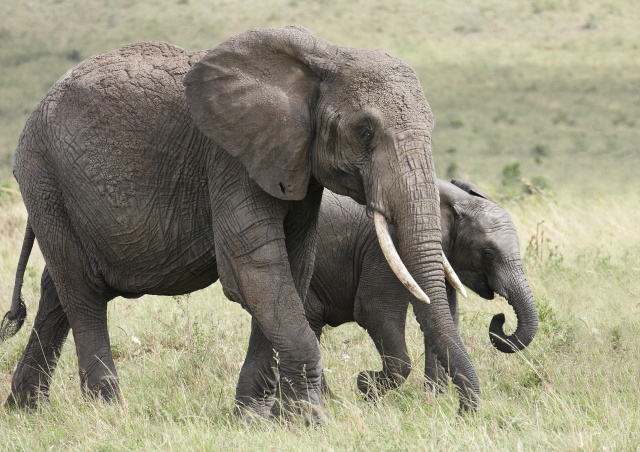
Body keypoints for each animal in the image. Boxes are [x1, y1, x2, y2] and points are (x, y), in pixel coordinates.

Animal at [0, 26, 479, 420]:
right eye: (365, 132)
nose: (463, 412)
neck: (325, 58)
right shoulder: (230, 158)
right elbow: (253, 268)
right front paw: (310, 419)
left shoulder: (294, 162)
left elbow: (293, 267)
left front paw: (259, 417)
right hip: (44, 176)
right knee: (82, 290)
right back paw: (110, 413)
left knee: (58, 290)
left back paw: (26, 412)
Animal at [302, 178, 538, 398]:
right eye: (487, 254)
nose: (500, 318)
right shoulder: (386, 246)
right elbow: (376, 311)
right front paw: (365, 384)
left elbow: (443, 317)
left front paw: (434, 398)